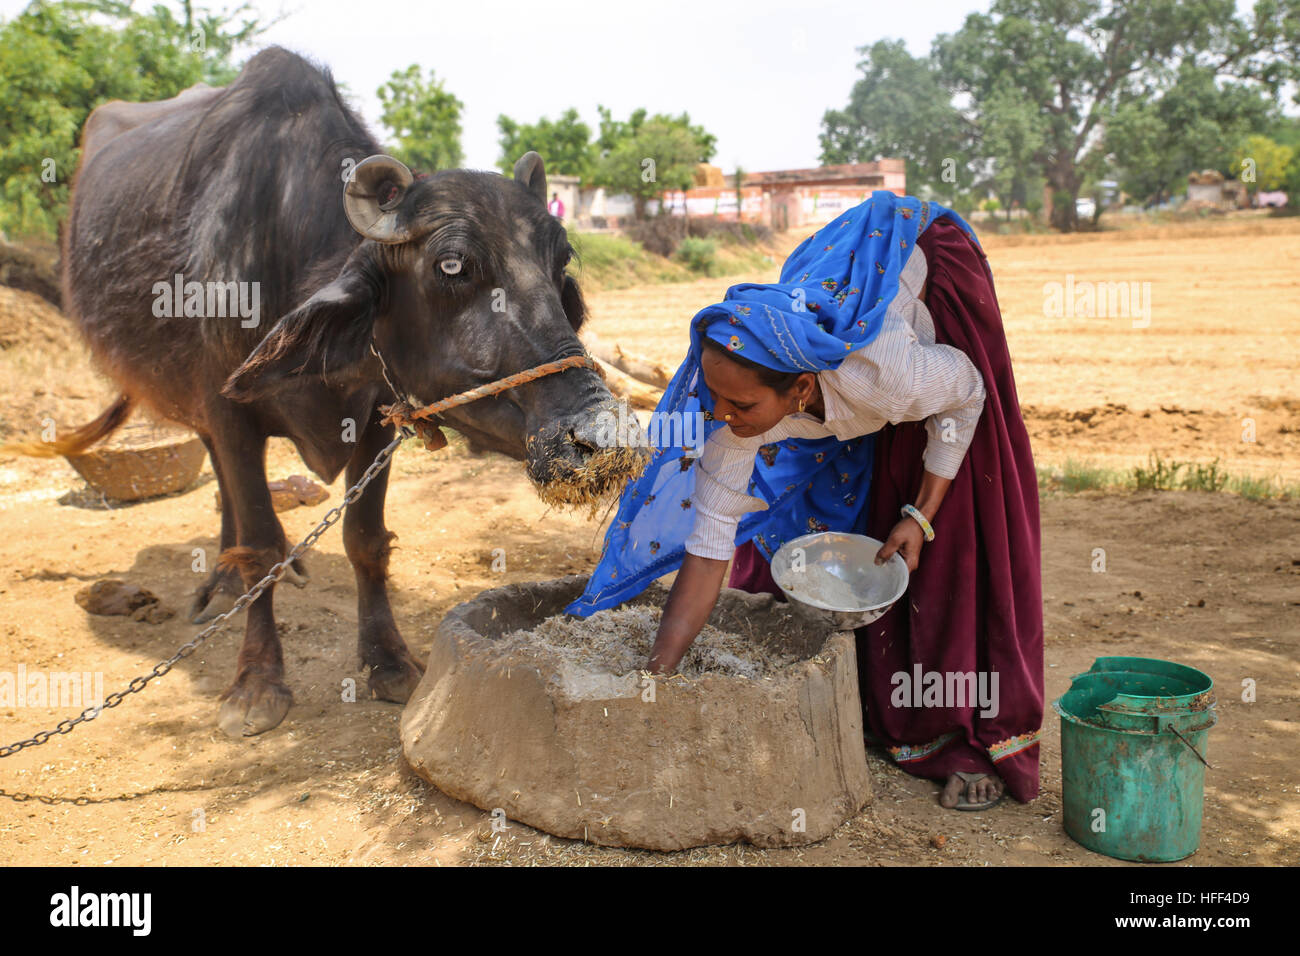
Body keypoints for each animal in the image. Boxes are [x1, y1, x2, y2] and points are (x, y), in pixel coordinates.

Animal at [55, 48, 629, 738]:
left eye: (559, 259)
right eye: (451, 265)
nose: (599, 437)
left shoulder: (379, 415)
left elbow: (364, 537)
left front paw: (389, 662)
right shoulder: (228, 410)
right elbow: (262, 542)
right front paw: (256, 683)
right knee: (227, 488)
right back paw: (225, 579)